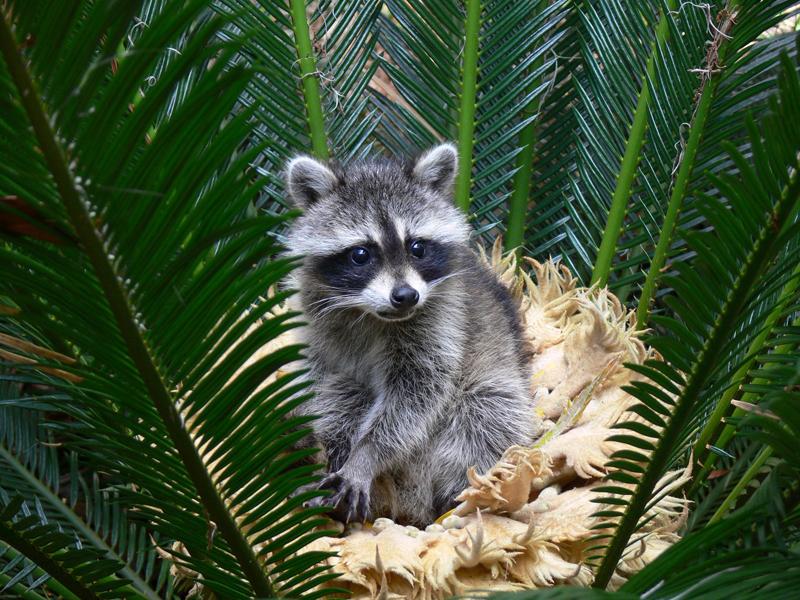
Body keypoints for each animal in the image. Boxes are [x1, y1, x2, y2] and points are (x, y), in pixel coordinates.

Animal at [284, 144, 536, 524]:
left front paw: (366, 455)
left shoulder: (442, 319)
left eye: (417, 247)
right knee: (343, 393)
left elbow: (416, 394)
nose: (406, 296)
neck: (369, 312)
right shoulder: (313, 315)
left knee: (485, 413)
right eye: (361, 254)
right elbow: (315, 378)